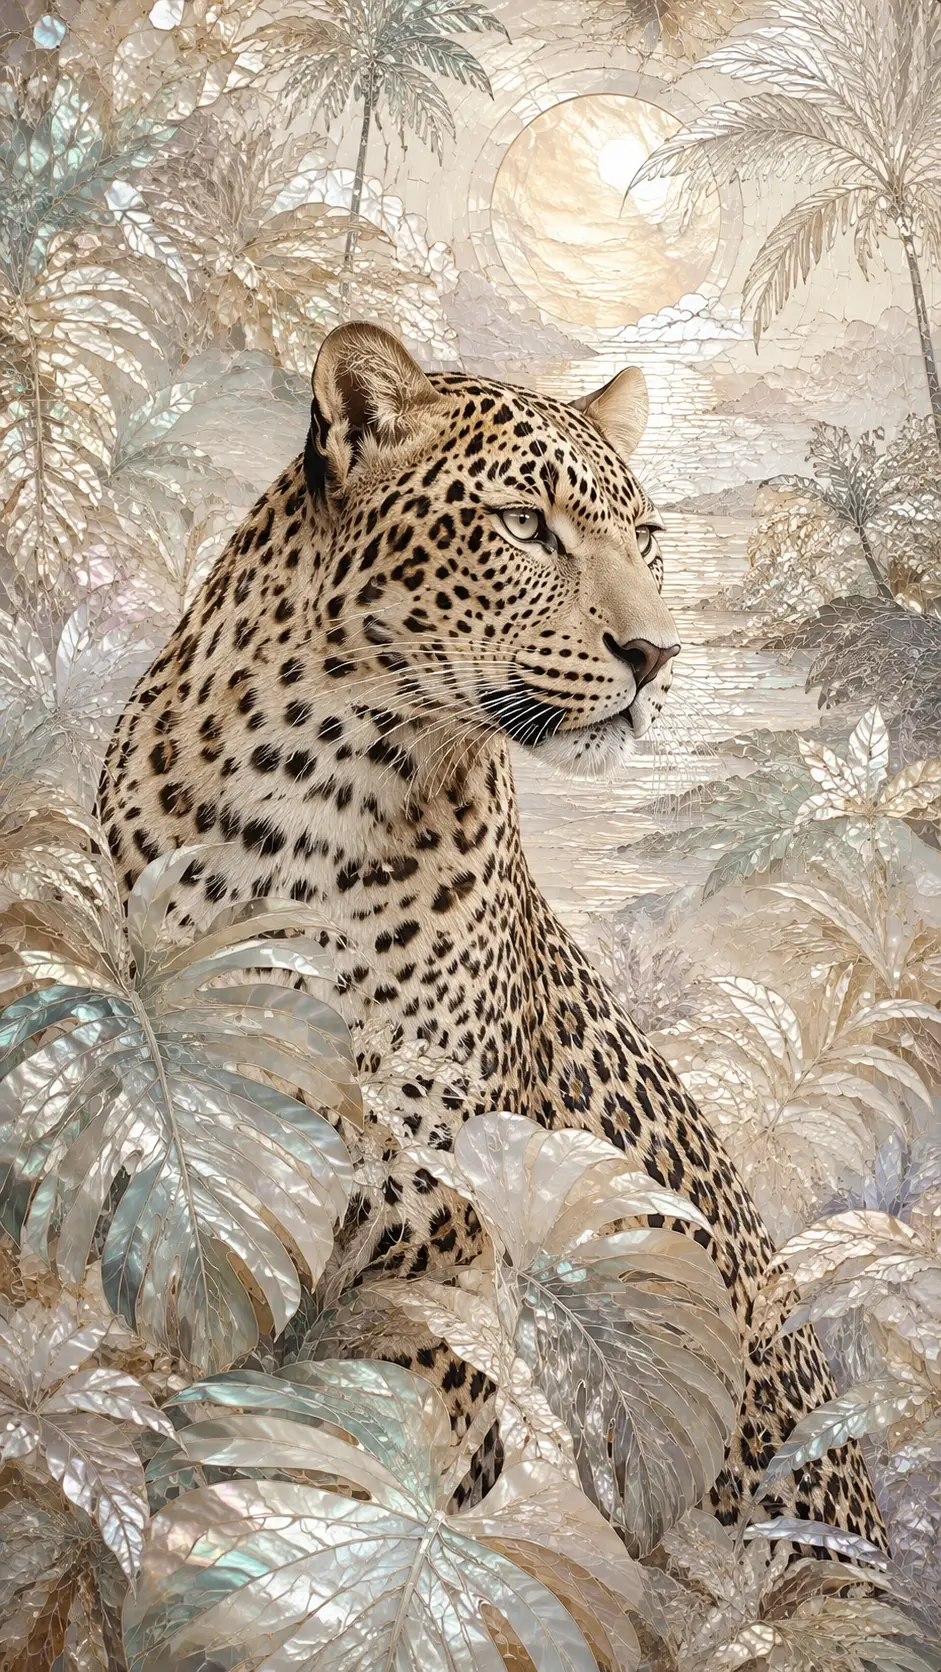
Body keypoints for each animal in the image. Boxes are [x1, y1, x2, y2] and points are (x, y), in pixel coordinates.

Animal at [99, 321, 886, 1551]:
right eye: (524, 525)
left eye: (645, 538)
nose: (657, 654)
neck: (309, 792)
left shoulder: (438, 1236)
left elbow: (373, 1463)